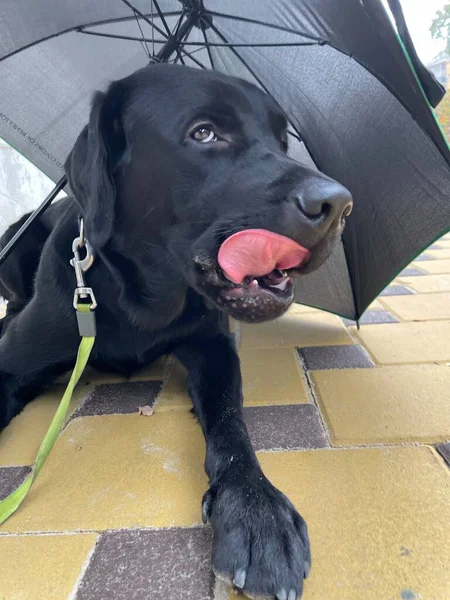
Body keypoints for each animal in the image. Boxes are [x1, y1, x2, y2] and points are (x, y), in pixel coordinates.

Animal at [0, 64, 352, 600]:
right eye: (204, 133)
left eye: (282, 139)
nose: (339, 205)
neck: (140, 300)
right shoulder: (9, 363)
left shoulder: (214, 348)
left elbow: (230, 423)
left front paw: (257, 509)